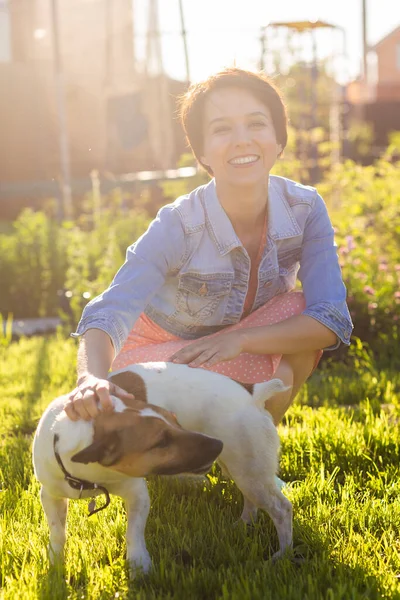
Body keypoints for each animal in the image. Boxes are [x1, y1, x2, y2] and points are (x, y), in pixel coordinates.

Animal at [32, 360, 292, 576]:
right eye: (161, 441)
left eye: (176, 420)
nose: (216, 444)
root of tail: (253, 392)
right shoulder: (50, 495)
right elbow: (57, 531)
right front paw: (55, 564)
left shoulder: (137, 494)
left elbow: (133, 532)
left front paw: (139, 566)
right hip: (241, 468)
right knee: (252, 500)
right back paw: (244, 524)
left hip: (249, 468)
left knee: (281, 509)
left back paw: (282, 555)